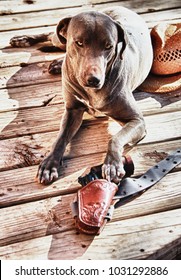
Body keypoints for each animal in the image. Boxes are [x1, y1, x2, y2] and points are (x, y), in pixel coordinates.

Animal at [9, 6, 153, 184]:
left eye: (109, 46)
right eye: (79, 43)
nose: (93, 80)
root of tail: (121, 7)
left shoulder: (137, 121)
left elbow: (115, 138)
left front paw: (112, 164)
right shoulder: (72, 111)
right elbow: (60, 138)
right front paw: (49, 164)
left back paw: (56, 63)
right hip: (59, 39)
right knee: (52, 35)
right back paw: (23, 39)